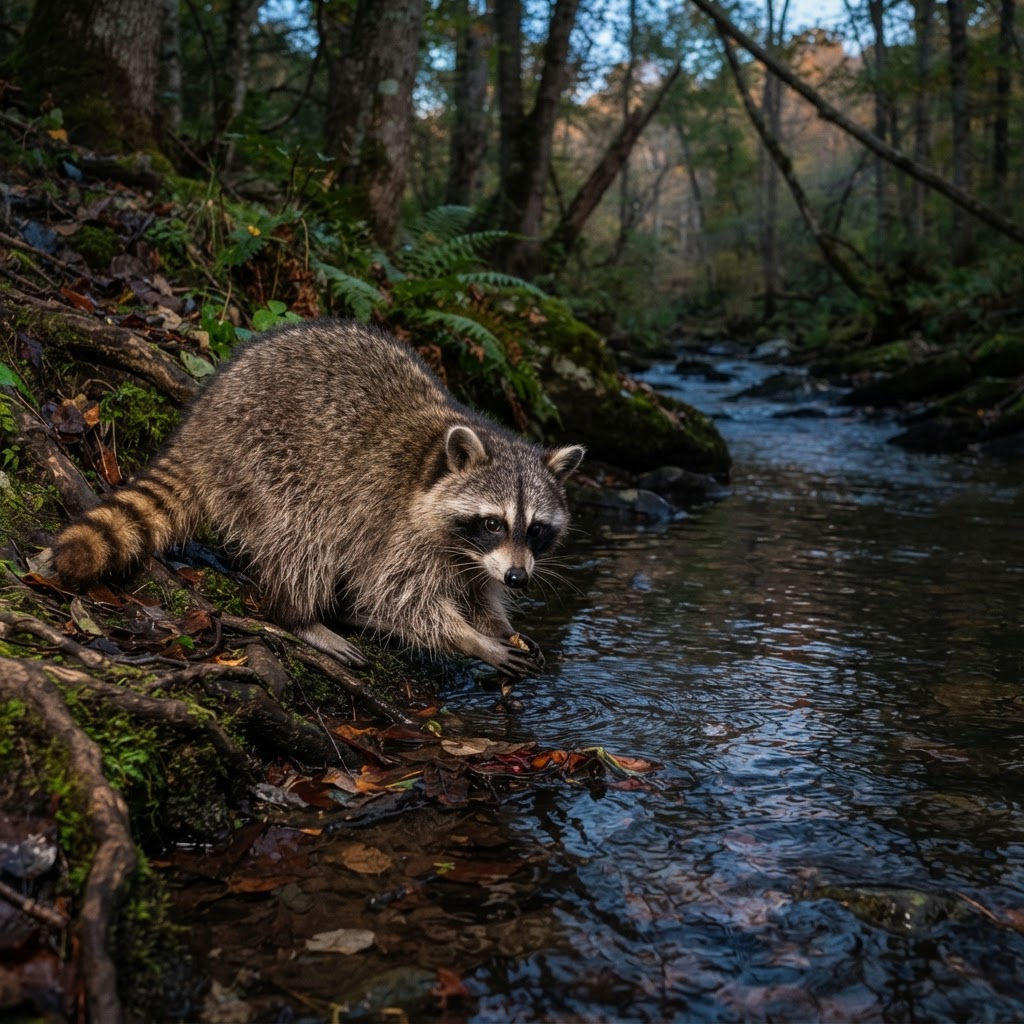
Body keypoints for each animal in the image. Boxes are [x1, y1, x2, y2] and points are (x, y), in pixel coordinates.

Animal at [53, 319, 585, 676]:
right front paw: (468, 639)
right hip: (267, 456)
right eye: (493, 522)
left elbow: (476, 589)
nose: (519, 578)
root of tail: (200, 423)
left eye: (536, 529)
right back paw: (300, 617)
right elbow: (396, 596)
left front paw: (494, 623)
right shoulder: (400, 527)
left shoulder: (474, 557)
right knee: (303, 534)